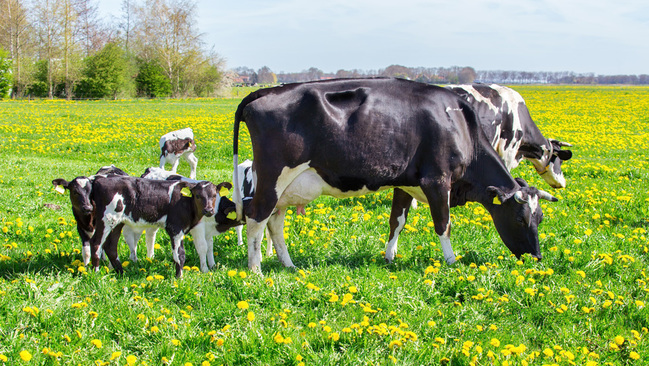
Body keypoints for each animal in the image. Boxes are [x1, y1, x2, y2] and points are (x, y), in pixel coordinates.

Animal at [233, 78, 556, 274]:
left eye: (540, 218)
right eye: (520, 218)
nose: (538, 258)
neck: (458, 121)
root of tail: (267, 91)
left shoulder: (406, 183)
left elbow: (396, 221)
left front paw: (389, 257)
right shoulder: (437, 180)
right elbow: (444, 225)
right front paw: (451, 261)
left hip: (285, 188)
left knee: (274, 222)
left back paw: (288, 264)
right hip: (273, 176)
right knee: (256, 217)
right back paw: (256, 270)